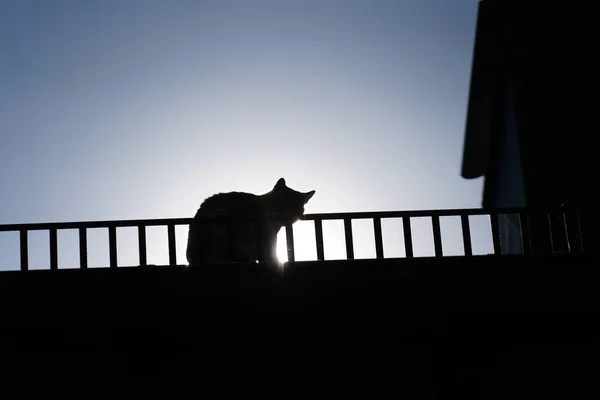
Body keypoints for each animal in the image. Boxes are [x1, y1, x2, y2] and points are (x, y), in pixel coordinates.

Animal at [186, 179, 316, 268]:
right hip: (220, 217)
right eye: (283, 204)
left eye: (296, 209)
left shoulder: (269, 235)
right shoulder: (261, 235)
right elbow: (267, 251)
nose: (287, 217)